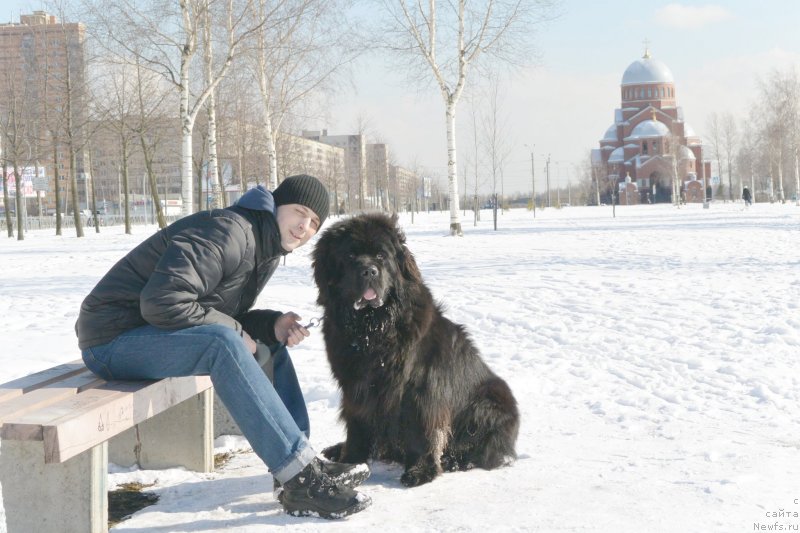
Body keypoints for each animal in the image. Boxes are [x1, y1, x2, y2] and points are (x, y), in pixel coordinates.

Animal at [312, 212, 520, 486]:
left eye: (381, 256)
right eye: (350, 256)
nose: (368, 271)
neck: (372, 329)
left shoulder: (420, 390)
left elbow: (421, 429)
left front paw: (421, 471)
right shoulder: (355, 388)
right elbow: (357, 424)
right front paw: (351, 461)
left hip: (491, 400)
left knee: (484, 449)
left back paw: (453, 460)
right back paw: (337, 449)